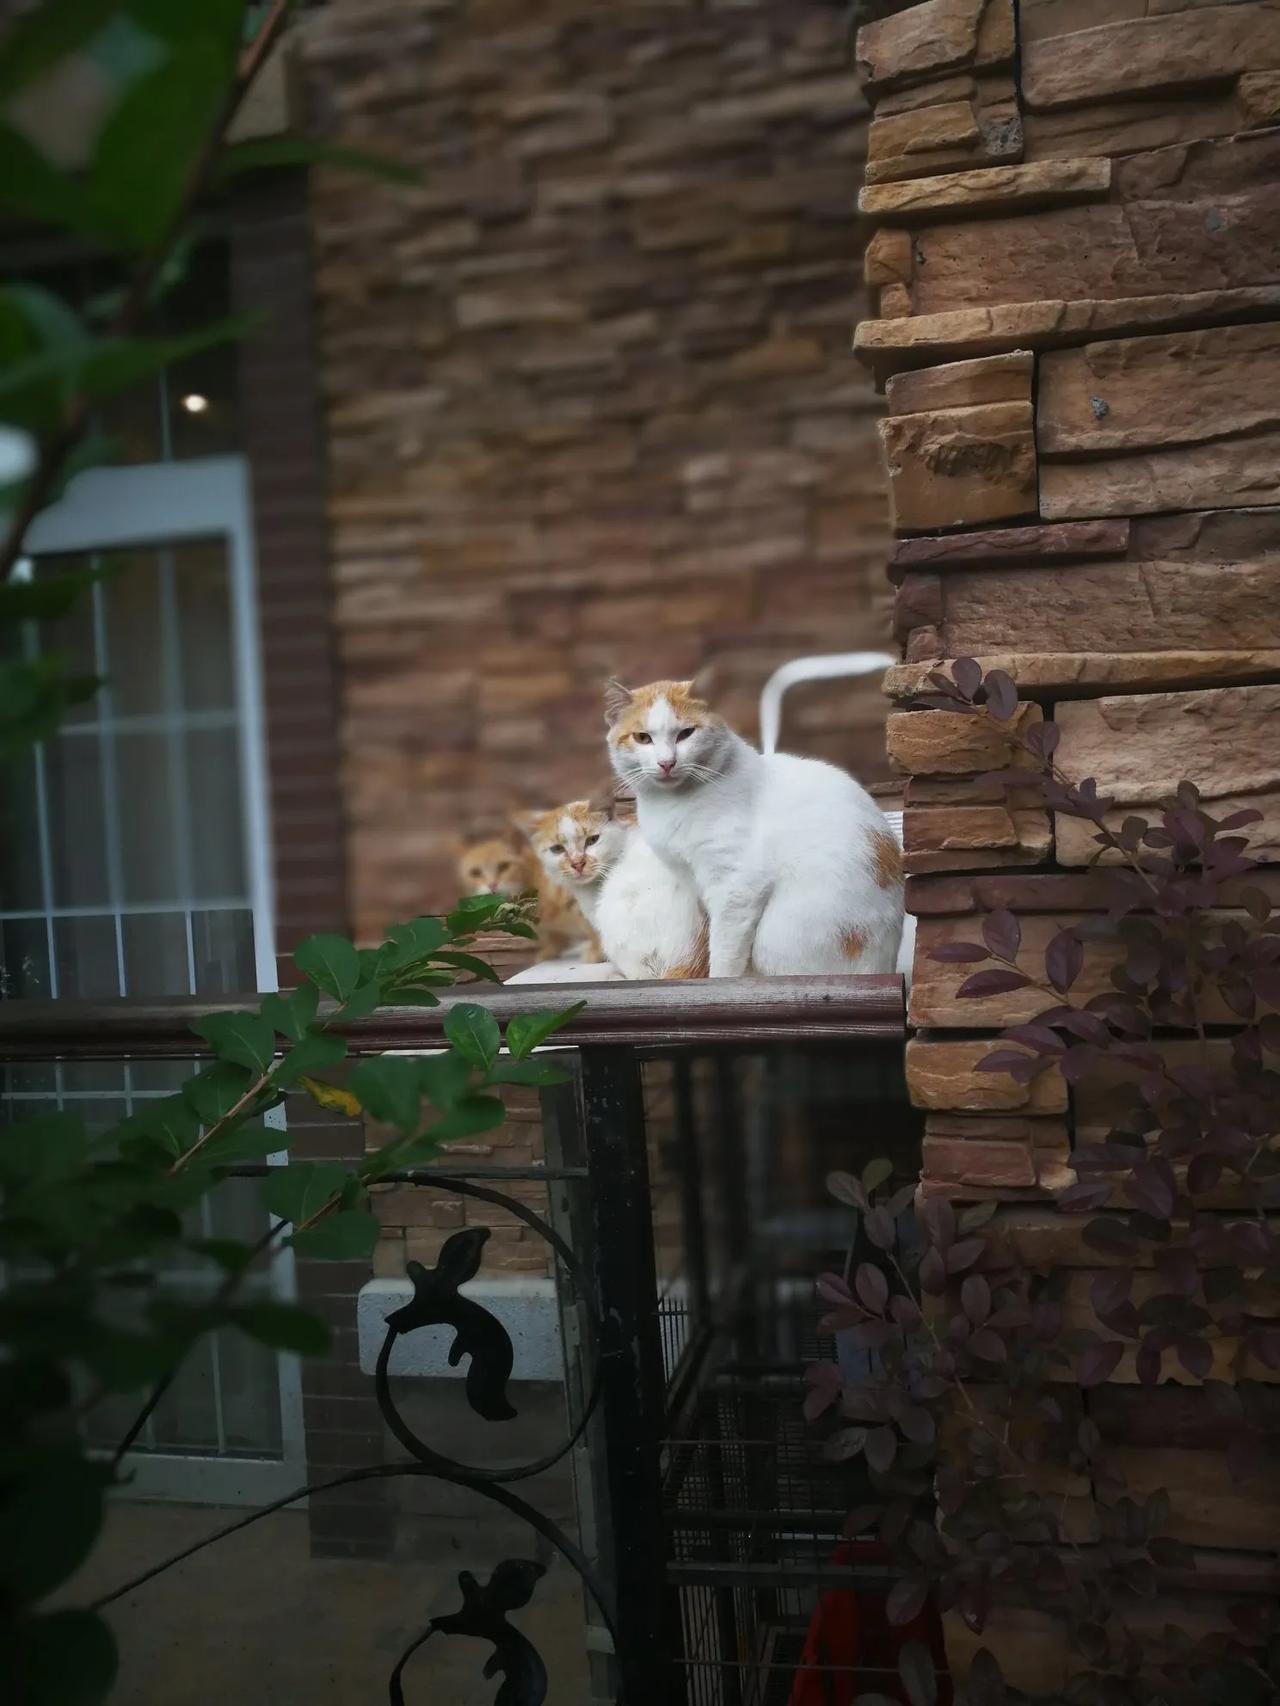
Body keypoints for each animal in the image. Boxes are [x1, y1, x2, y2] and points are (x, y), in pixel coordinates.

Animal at [460, 835, 600, 969]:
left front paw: (597, 950)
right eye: (475, 873)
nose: (492, 884)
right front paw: (550, 951)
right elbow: (552, 936)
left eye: (504, 866)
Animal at [607, 675, 901, 975]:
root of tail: (883, 967)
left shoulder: (737, 887)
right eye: (642, 737)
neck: (671, 803)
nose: (666, 762)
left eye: (685, 733)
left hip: (775, 938)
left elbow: (724, 953)